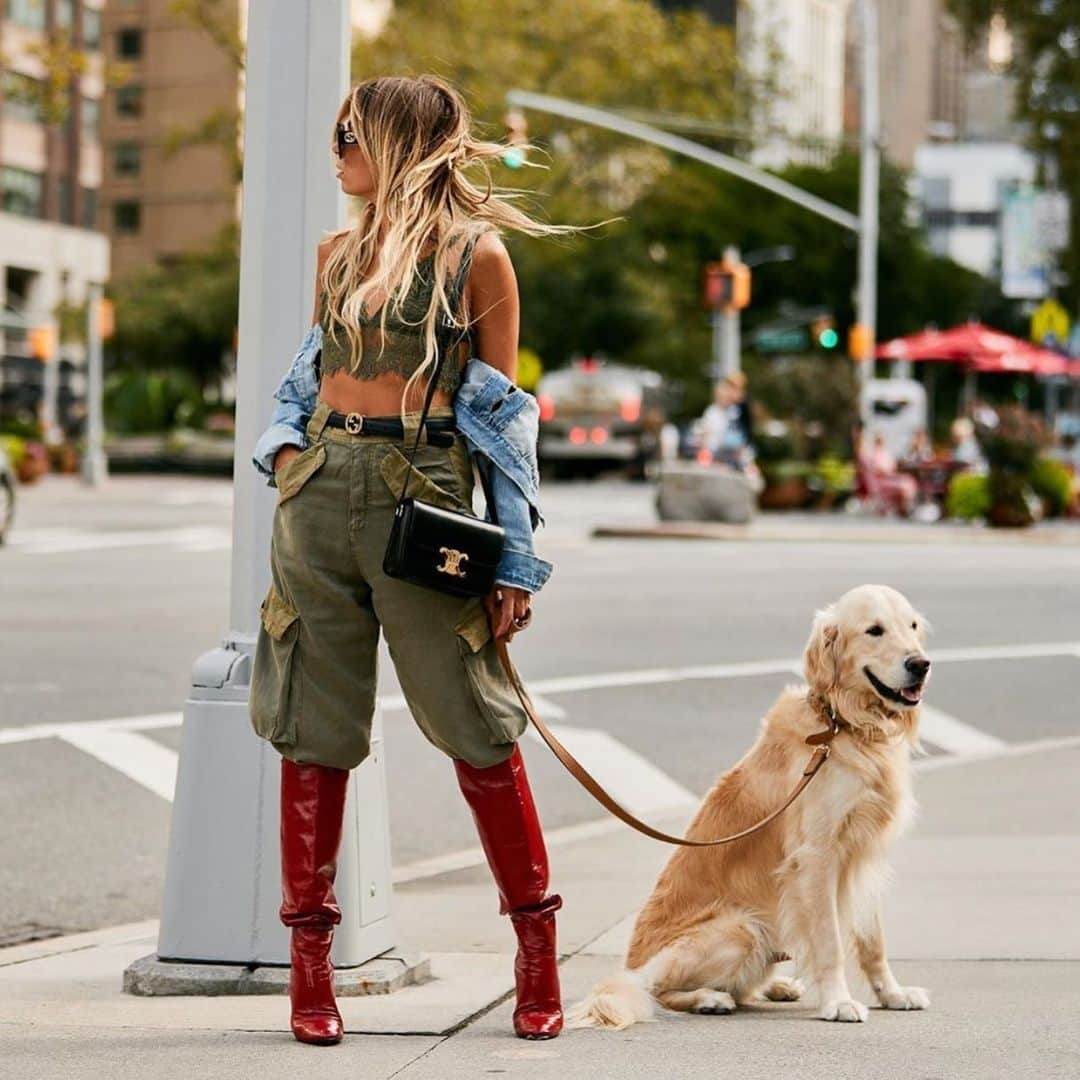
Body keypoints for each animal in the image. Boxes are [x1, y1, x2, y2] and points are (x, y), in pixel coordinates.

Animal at [570, 587, 933, 1023]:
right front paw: (838, 1002)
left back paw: (777, 986)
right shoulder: (818, 857)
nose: (921, 664)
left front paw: (893, 994)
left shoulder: (864, 855)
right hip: (742, 929)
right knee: (658, 992)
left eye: (912, 626)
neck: (845, 726)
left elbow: (873, 942)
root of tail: (631, 967)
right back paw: (709, 999)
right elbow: (830, 943)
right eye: (874, 630)